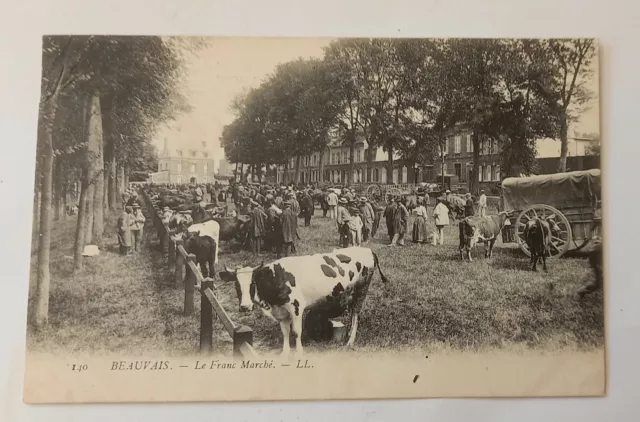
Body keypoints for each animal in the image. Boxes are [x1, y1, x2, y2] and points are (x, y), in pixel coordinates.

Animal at [220, 246, 390, 358]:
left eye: (253, 283)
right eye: (236, 284)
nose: (244, 306)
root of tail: (366, 248)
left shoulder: (296, 307)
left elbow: (296, 332)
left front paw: (299, 353)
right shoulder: (281, 311)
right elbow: (285, 332)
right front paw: (285, 353)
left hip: (361, 292)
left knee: (355, 315)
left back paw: (350, 341)